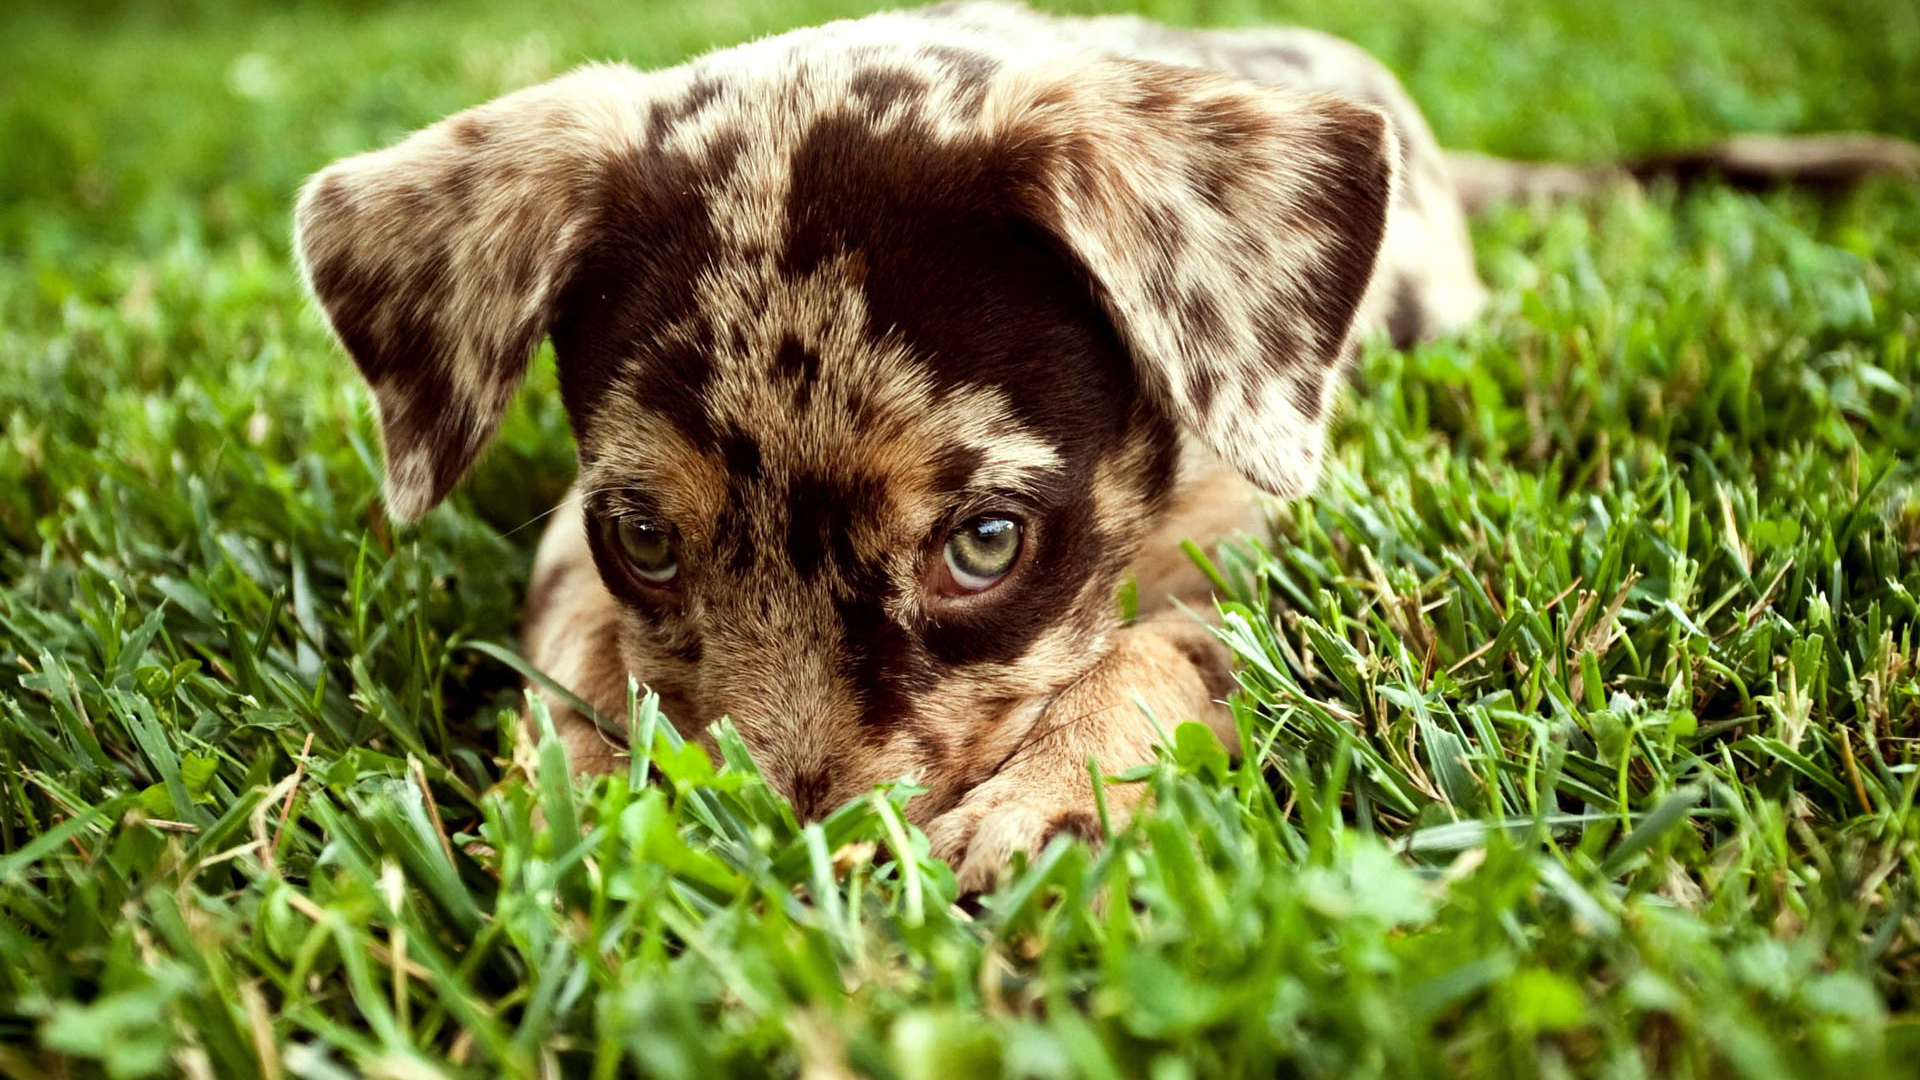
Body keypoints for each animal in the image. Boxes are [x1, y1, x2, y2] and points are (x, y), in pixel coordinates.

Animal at [295, 1, 1918, 891]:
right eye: (647, 536)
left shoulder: (1271, 526)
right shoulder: (573, 545)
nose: (801, 844)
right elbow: (579, 643)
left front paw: (1053, 795)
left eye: (984, 545)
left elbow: (1156, 642)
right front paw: (577, 785)